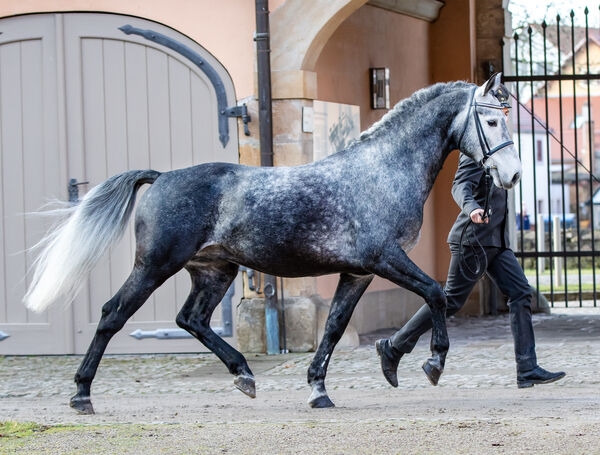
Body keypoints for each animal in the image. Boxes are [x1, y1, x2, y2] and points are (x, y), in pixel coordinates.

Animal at [24, 74, 520, 414]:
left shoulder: (358, 273)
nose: (512, 176)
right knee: (113, 314)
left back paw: (244, 374)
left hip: (214, 271)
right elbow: (435, 292)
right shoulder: (385, 259)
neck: (383, 172)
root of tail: (161, 177)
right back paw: (81, 394)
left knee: (192, 319)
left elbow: (334, 328)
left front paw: (320, 389)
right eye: (491, 119)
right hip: (154, 266)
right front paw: (433, 364)